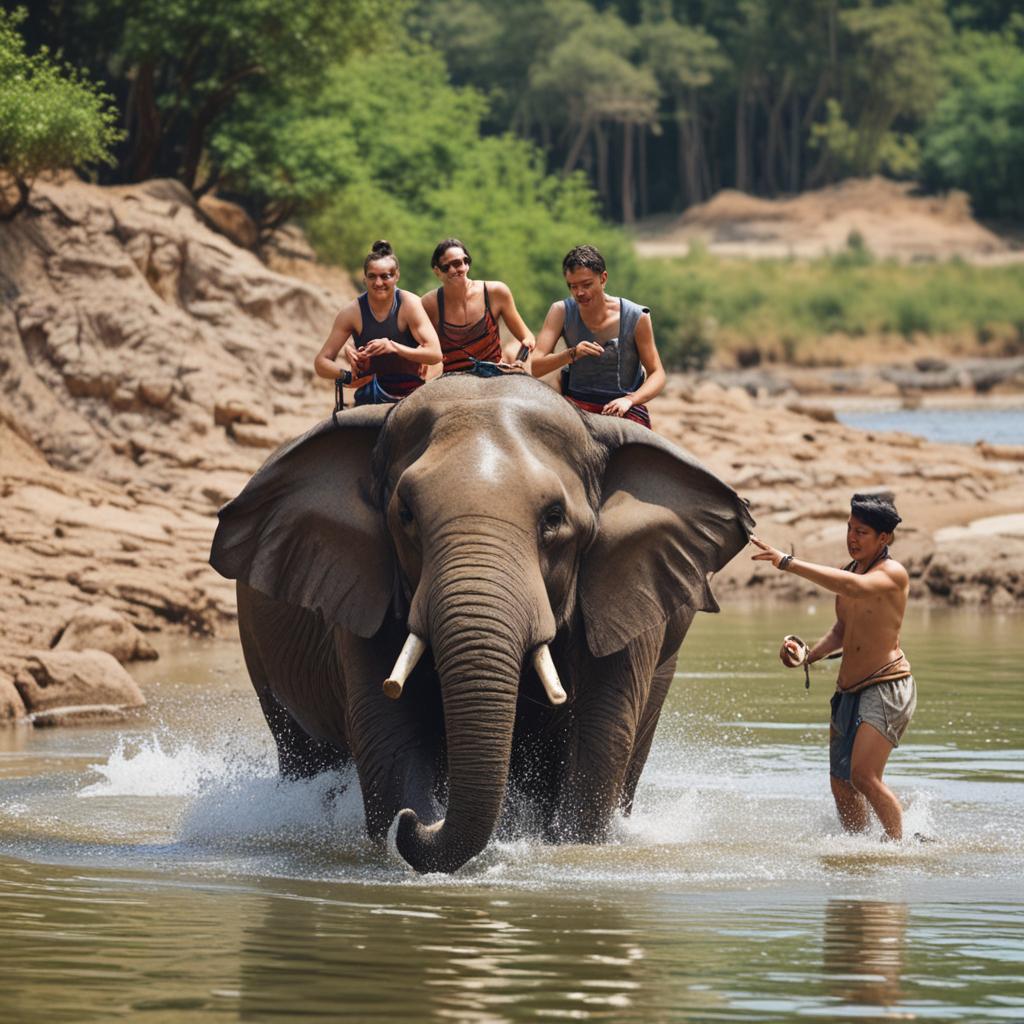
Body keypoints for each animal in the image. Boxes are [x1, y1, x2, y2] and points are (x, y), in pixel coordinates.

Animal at [210, 373, 753, 873]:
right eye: (406, 515)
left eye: (553, 518)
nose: (415, 823)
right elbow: (387, 731)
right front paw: (407, 826)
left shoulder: (626, 591)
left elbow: (600, 737)